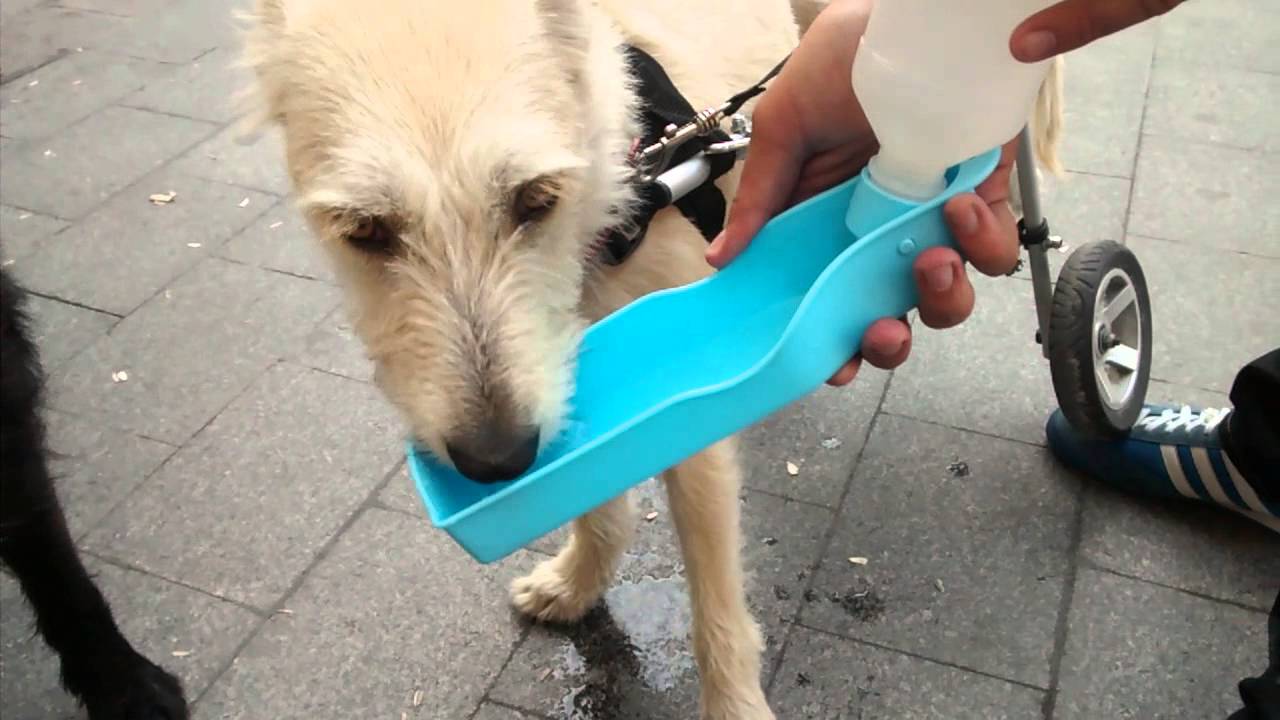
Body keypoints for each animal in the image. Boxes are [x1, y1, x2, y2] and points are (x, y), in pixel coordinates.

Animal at [240, 1, 1059, 712]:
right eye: (366, 230)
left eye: (535, 200)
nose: (497, 460)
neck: (624, 182)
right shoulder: (568, 389)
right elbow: (595, 496)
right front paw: (576, 584)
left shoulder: (685, 436)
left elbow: (716, 609)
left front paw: (735, 706)